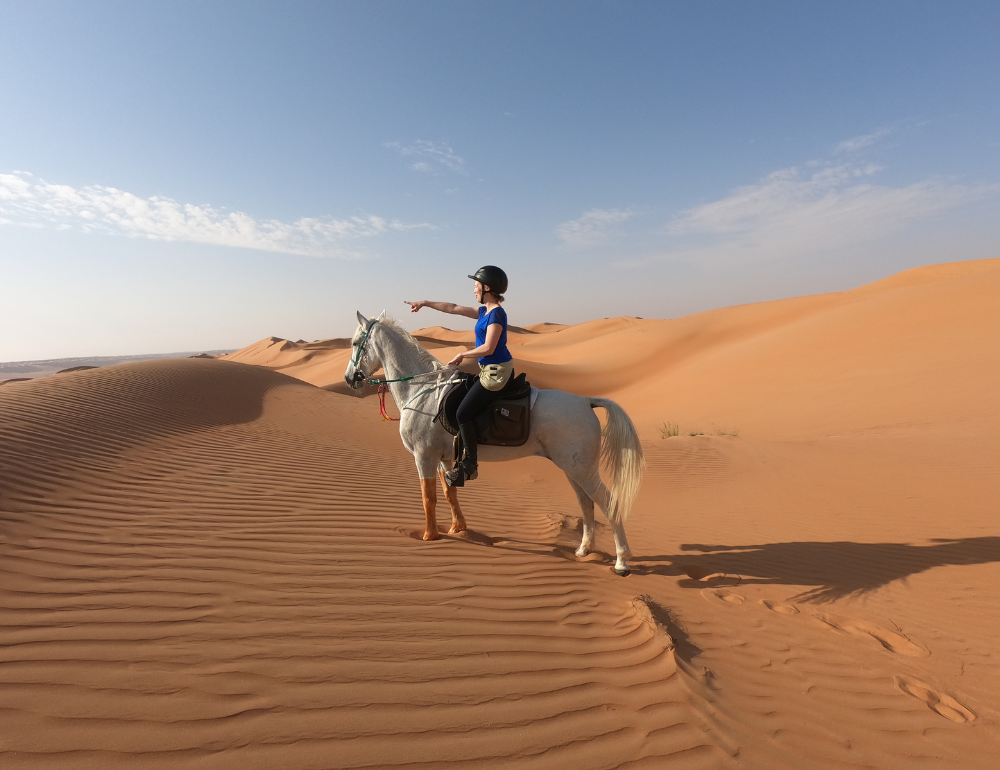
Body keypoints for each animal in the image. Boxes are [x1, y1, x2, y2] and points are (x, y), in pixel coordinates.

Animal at [342, 308, 640, 572]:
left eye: (356, 343)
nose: (348, 379)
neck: (423, 390)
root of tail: (586, 401)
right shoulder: (445, 459)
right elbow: (449, 493)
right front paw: (457, 528)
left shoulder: (423, 456)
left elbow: (428, 496)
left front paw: (430, 535)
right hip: (573, 469)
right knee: (586, 504)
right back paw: (584, 549)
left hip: (582, 470)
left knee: (608, 503)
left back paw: (621, 561)